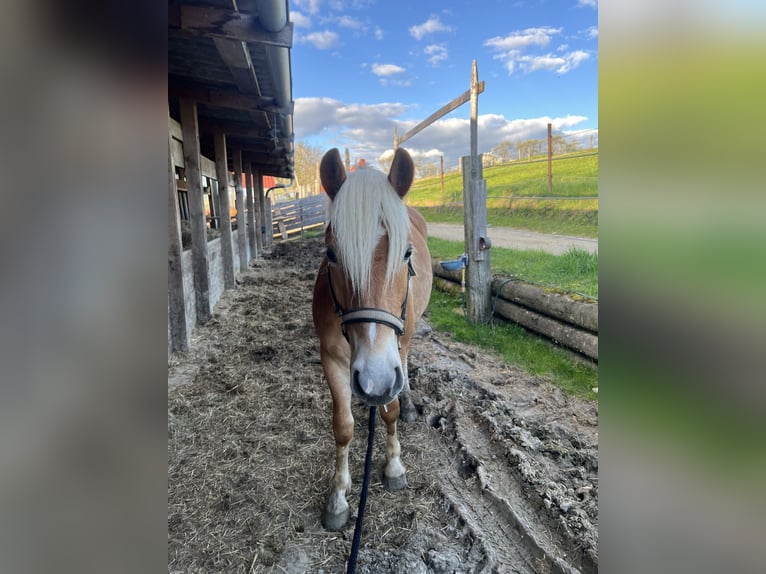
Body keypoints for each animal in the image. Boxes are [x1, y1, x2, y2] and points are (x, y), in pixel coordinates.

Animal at [310, 147, 432, 532]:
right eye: (331, 254)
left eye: (406, 253)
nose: (374, 380)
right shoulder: (332, 359)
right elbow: (343, 427)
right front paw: (337, 498)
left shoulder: (391, 360)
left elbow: (390, 410)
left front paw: (393, 466)